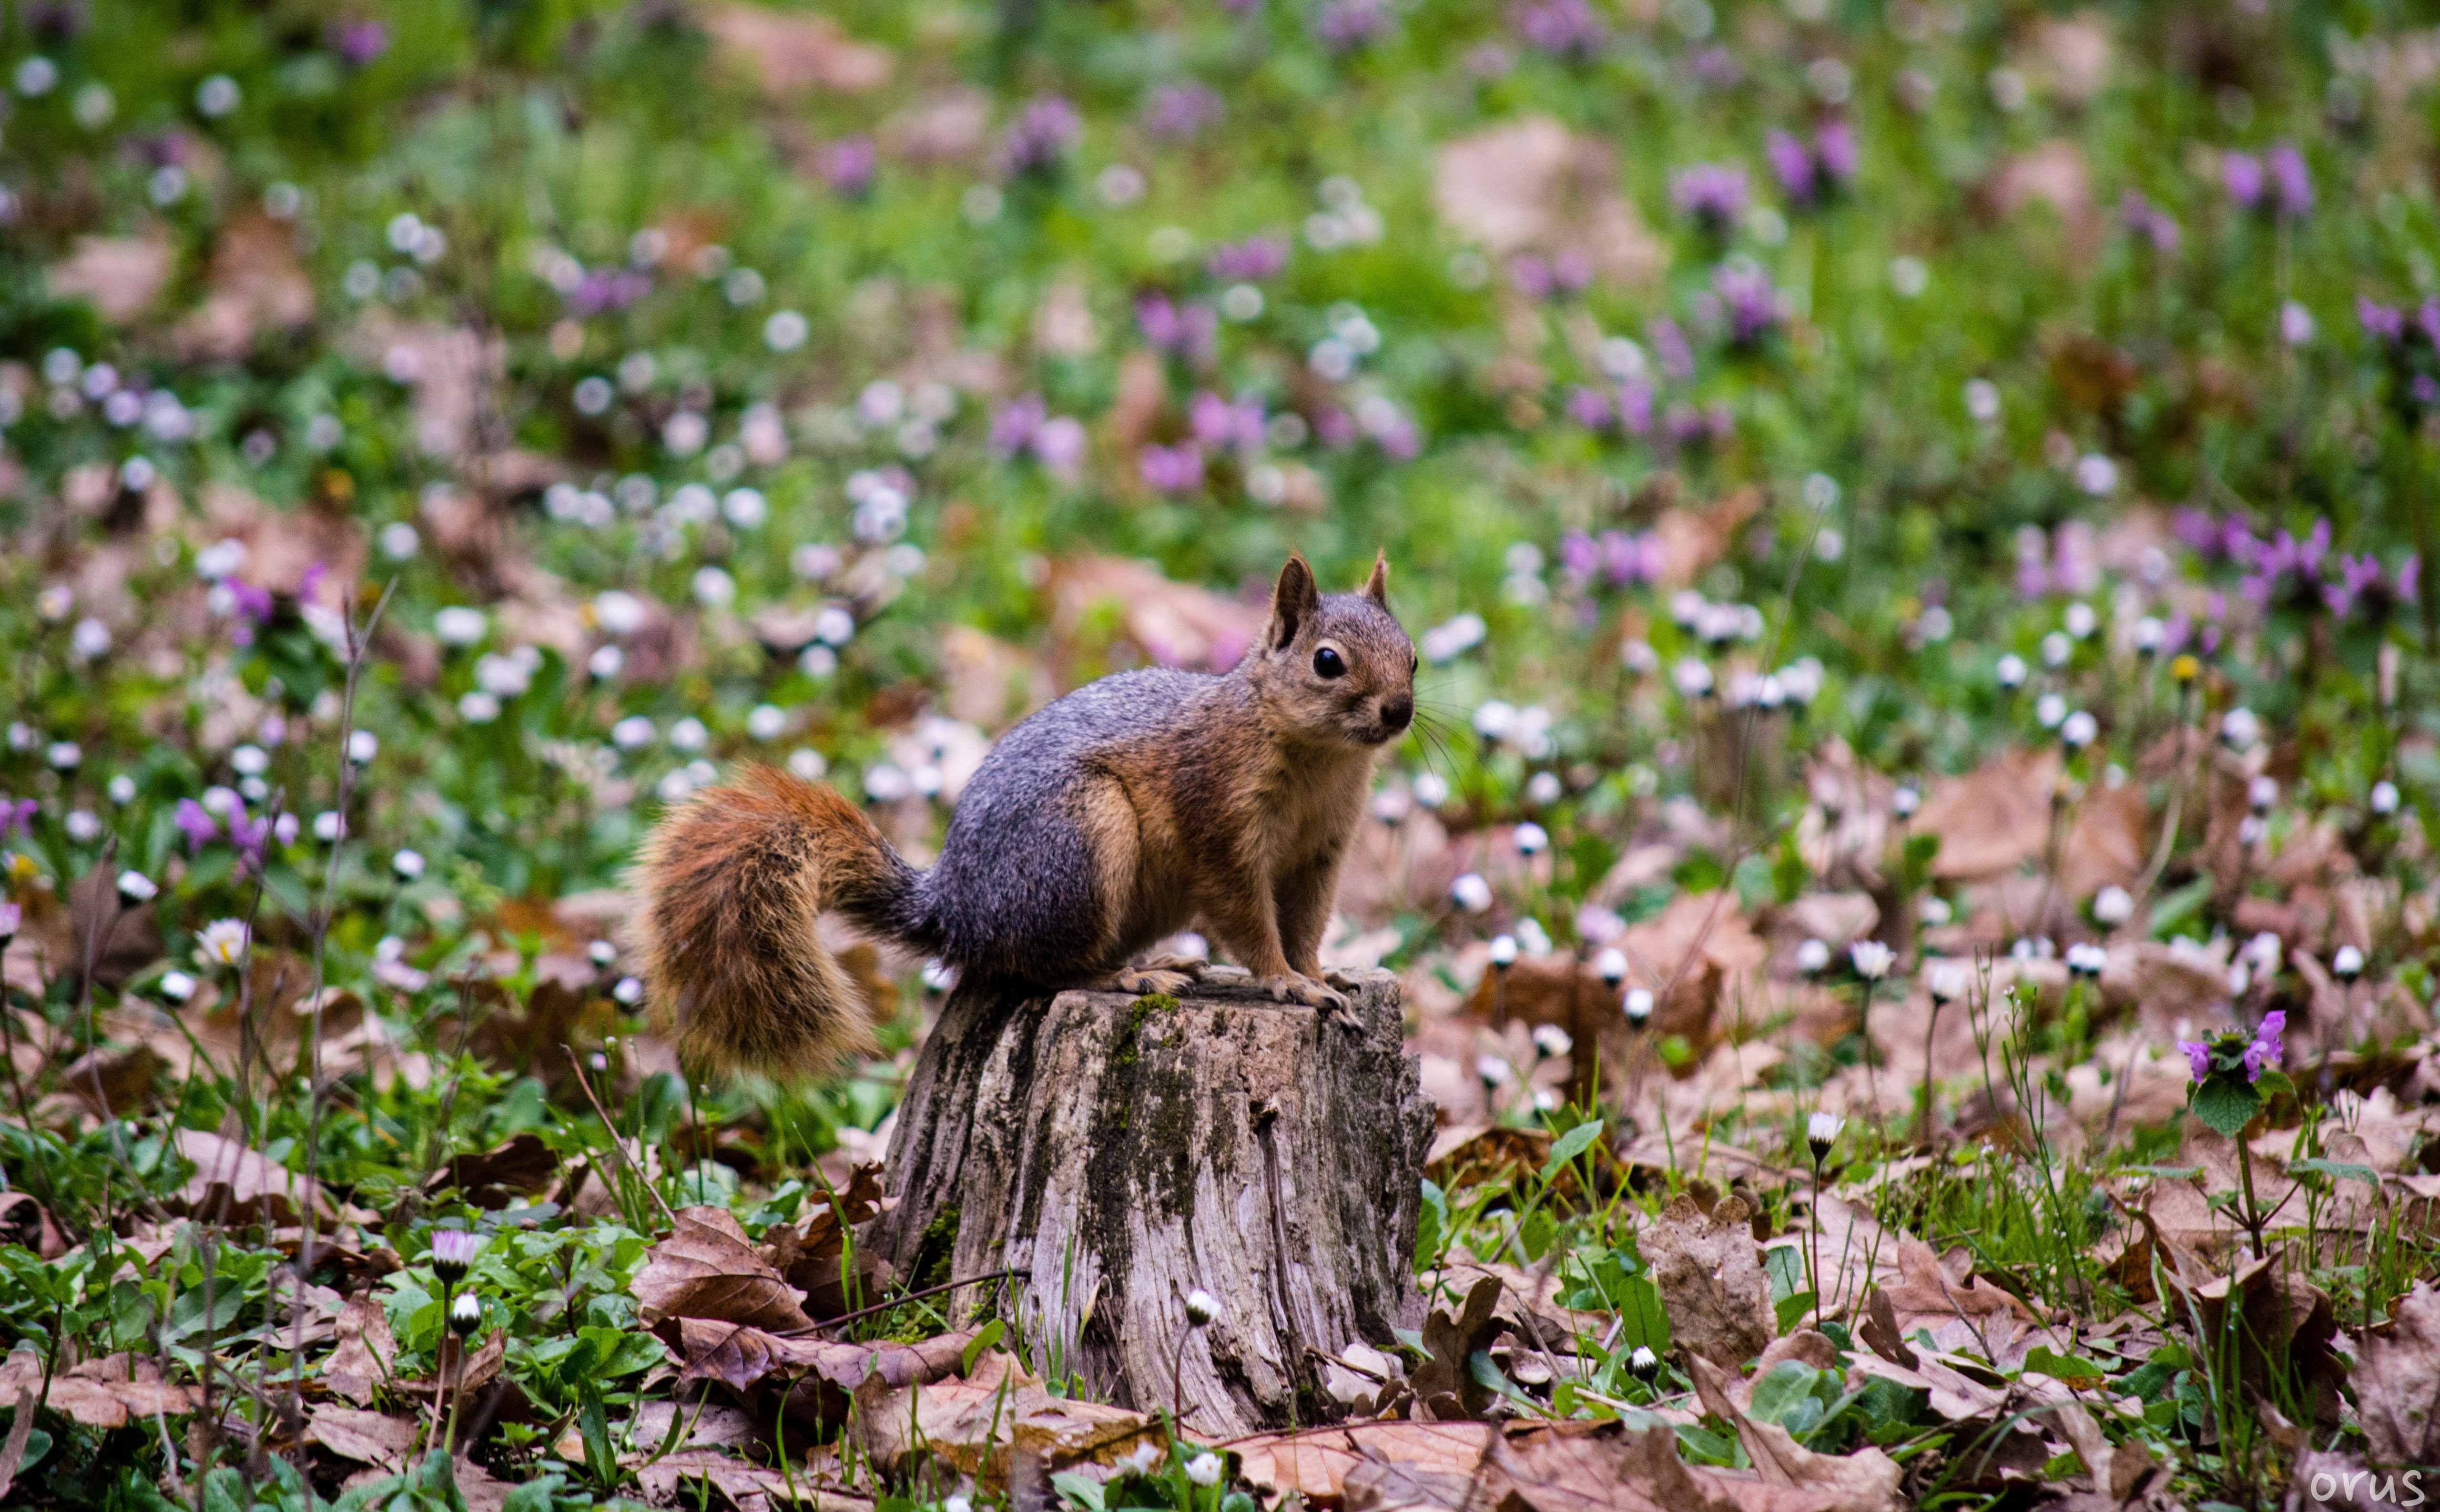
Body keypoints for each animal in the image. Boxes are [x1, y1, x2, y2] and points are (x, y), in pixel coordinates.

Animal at [631, 552, 1418, 1080]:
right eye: (1326, 662)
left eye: (1411, 654)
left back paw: (1154, 961)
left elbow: (1306, 922)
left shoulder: (1322, 851)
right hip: (1079, 844)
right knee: (1048, 970)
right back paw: (1131, 979)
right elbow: (1248, 919)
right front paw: (1289, 983)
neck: (1318, 758)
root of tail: (957, 910)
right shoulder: (1217, 817)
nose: (1400, 711)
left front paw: (1321, 975)